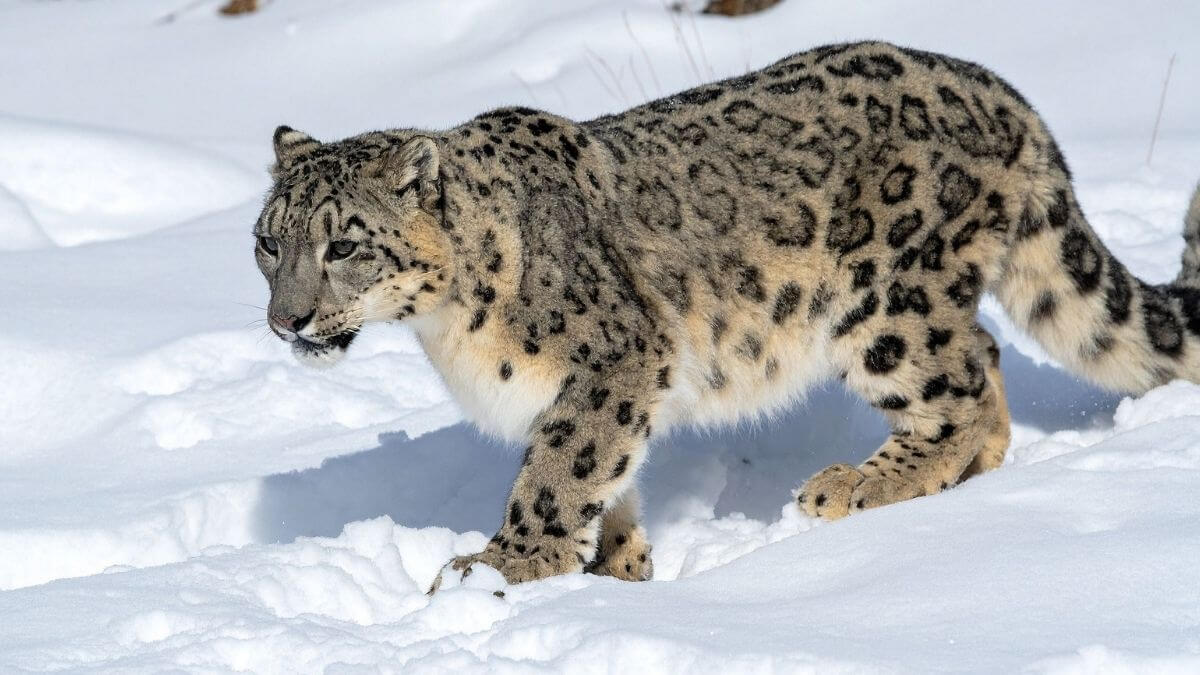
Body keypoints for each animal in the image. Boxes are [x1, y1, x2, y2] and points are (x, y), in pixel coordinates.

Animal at [253, 40, 1200, 589]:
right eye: (268, 241)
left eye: (343, 245)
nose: (286, 322)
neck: (446, 329)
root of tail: (1000, 91)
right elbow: (610, 473)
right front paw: (620, 570)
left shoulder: (616, 357)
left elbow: (562, 466)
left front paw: (504, 566)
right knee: (988, 368)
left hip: (886, 302)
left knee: (961, 385)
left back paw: (854, 485)